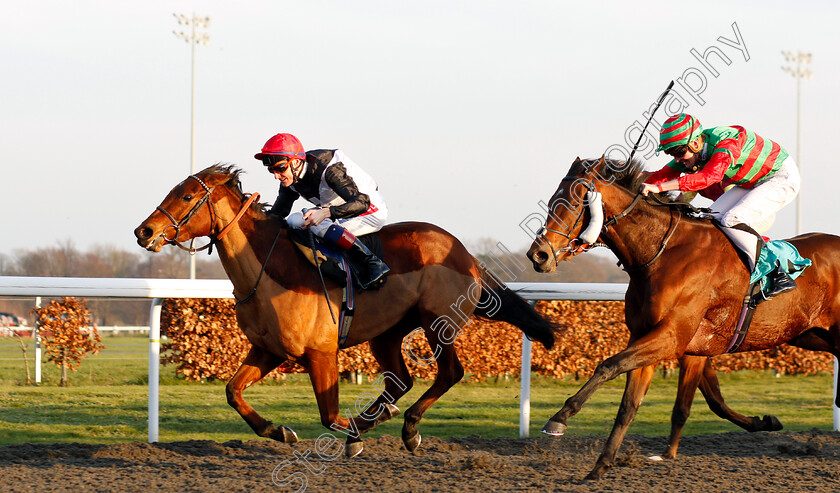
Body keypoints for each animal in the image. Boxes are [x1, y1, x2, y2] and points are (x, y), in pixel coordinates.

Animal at [135, 163, 556, 456]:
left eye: (187, 197)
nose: (144, 231)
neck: (270, 269)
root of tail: (466, 254)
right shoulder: (269, 349)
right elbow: (232, 391)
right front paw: (280, 431)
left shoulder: (320, 353)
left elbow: (329, 415)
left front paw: (359, 430)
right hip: (388, 332)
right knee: (399, 381)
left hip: (438, 321)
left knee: (449, 372)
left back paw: (408, 428)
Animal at [524, 157, 840, 476]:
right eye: (551, 202)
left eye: (572, 203)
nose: (538, 255)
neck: (661, 254)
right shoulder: (663, 341)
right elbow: (635, 405)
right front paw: (602, 465)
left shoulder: (671, 337)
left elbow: (608, 366)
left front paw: (559, 419)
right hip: (812, 336)